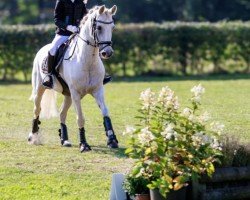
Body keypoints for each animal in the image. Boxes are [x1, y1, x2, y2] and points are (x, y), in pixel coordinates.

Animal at [28, 5, 118, 152]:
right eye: (99, 27)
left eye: (113, 27)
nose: (107, 53)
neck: (87, 61)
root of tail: (42, 49)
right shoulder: (76, 93)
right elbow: (80, 118)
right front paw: (84, 145)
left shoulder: (98, 91)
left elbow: (106, 113)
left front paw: (112, 140)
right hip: (39, 90)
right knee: (37, 110)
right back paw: (33, 137)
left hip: (68, 95)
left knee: (62, 114)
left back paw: (64, 140)